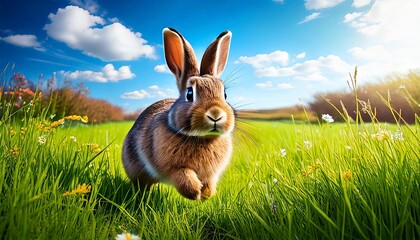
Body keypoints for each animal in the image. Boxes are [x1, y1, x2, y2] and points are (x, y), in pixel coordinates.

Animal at [121, 28, 235, 200]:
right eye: (189, 94)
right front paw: (195, 192)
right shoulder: (173, 168)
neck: (202, 138)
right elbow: (183, 175)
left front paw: (206, 194)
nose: (216, 114)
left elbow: (209, 181)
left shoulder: (211, 174)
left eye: (225, 95)